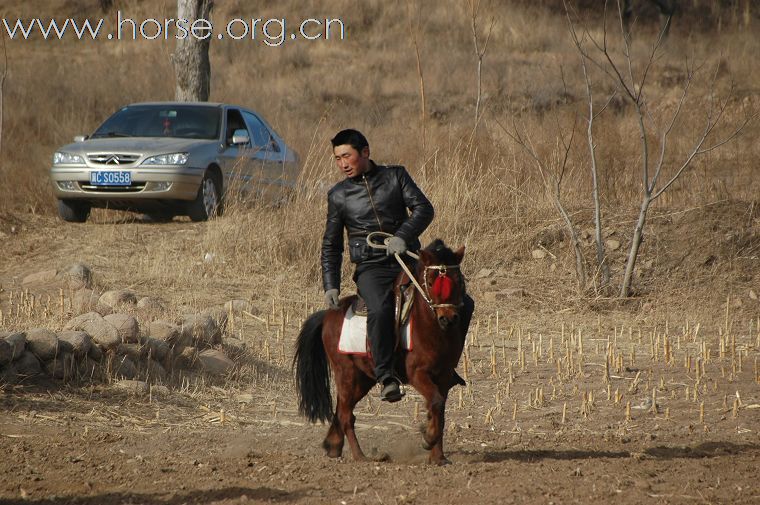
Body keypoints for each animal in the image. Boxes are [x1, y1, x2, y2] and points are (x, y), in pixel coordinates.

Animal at [292, 240, 470, 464]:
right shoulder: (418, 374)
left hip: (362, 379)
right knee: (346, 415)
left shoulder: (444, 377)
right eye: (430, 282)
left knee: (342, 409)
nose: (449, 319)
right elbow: (436, 403)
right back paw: (360, 456)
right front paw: (427, 438)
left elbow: (440, 411)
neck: (431, 327)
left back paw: (333, 445)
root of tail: (329, 314)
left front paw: (438, 457)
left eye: (459, 280)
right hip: (346, 374)